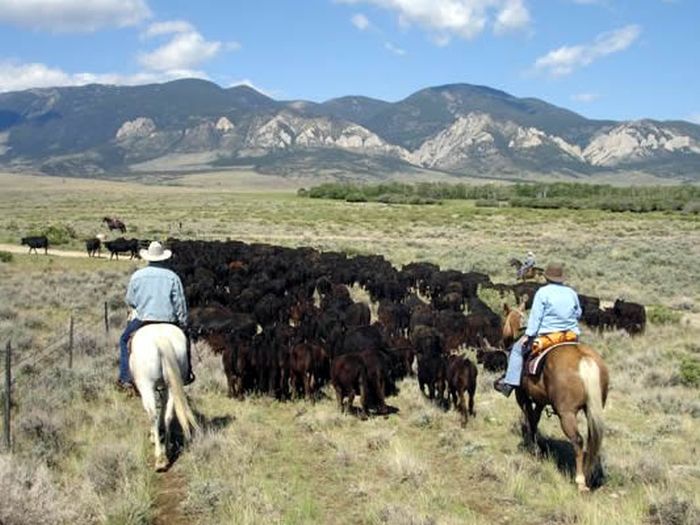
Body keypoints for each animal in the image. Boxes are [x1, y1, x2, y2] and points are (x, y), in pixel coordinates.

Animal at [129, 324, 200, 470]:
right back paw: (167, 449)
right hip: (172, 385)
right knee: (169, 415)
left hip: (146, 385)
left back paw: (160, 458)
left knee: (152, 415)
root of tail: (161, 339)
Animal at [504, 304, 608, 490]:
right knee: (592, 441)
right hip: (592, 410)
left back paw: (580, 480)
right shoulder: (539, 400)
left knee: (578, 441)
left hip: (566, 414)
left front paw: (531, 446)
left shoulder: (522, 395)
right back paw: (590, 474)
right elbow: (535, 419)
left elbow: (528, 417)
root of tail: (584, 359)